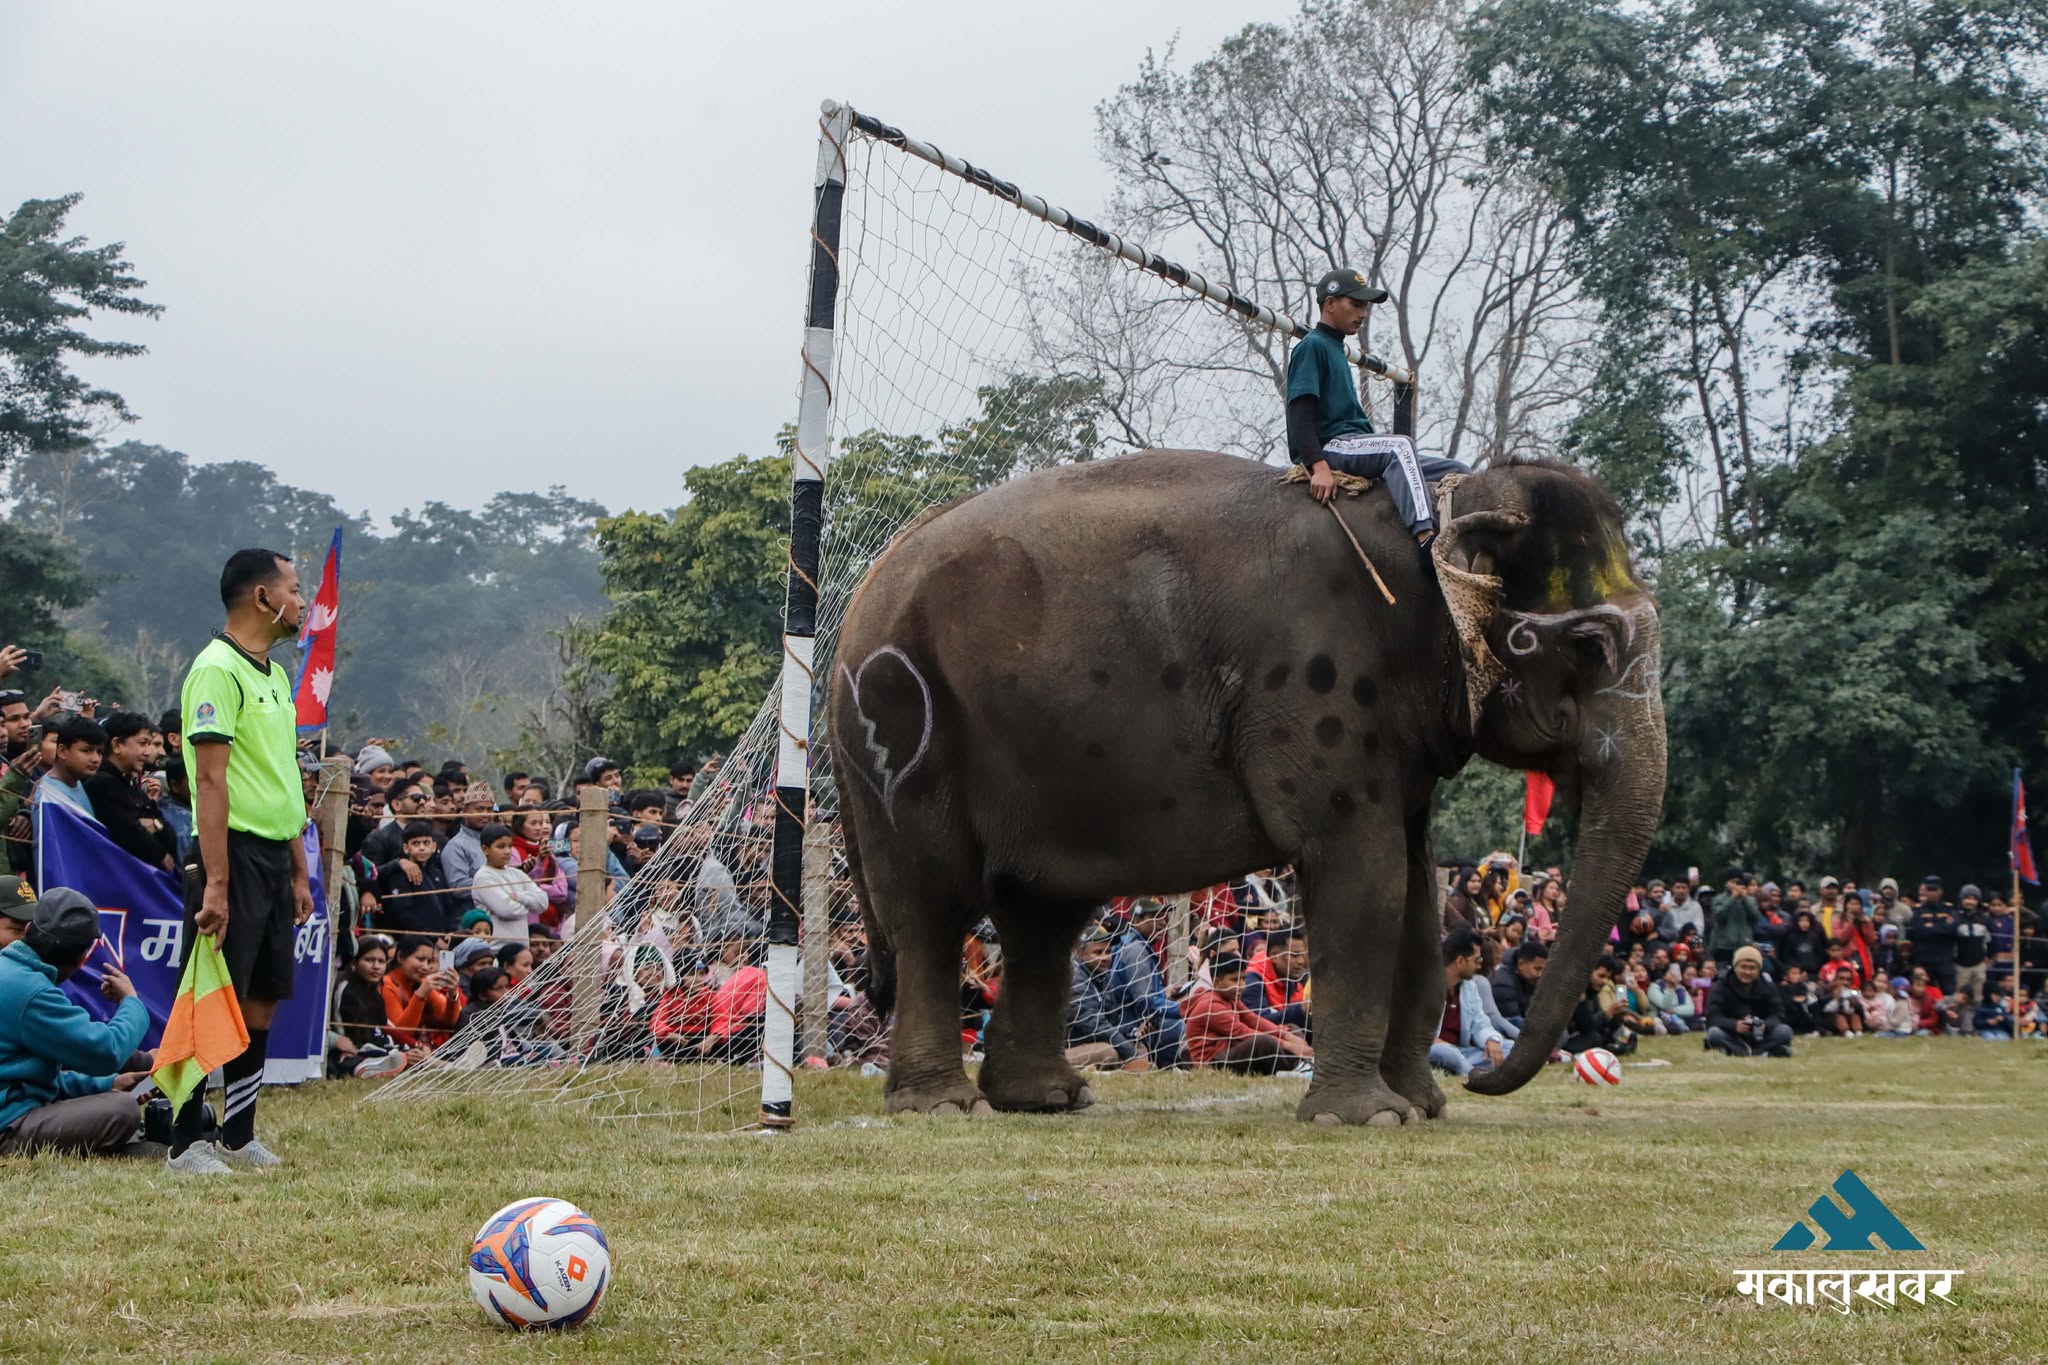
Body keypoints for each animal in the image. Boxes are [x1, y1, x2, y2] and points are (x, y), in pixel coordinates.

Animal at [827, 448, 1664, 1123]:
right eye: (1590, 644)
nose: (1481, 1076)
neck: (1433, 511)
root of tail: (860, 594)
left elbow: (1417, 893)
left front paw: (1421, 1108)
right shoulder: (1319, 690)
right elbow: (1365, 877)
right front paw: (1369, 1117)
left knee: (1041, 917)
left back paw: (1047, 1099)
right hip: (902, 732)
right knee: (934, 911)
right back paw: (944, 1106)